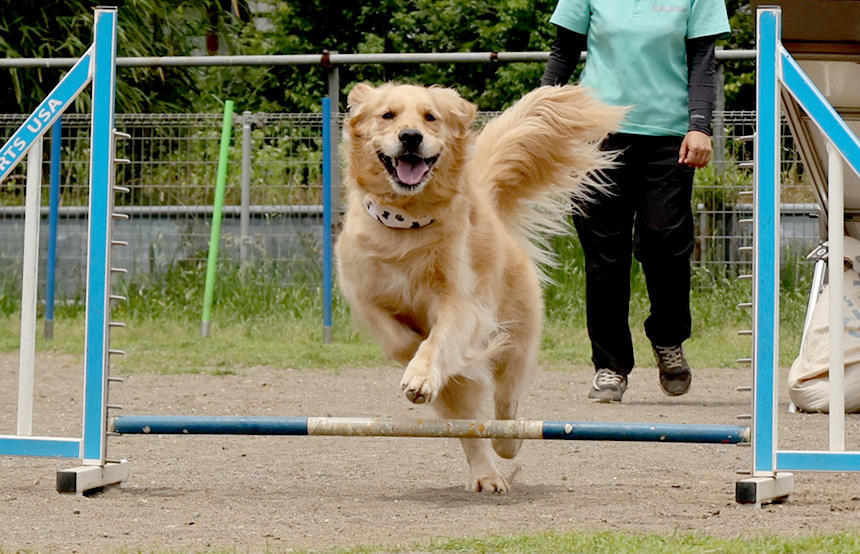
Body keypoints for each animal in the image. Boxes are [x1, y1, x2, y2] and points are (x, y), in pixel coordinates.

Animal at [332, 83, 620, 492]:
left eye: (430, 117)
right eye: (388, 115)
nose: (410, 137)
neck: (406, 224)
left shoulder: (462, 302)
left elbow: (437, 339)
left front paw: (422, 372)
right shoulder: (363, 296)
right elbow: (401, 340)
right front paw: (419, 363)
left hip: (516, 341)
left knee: (505, 406)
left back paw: (507, 442)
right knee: (469, 428)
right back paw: (486, 473)